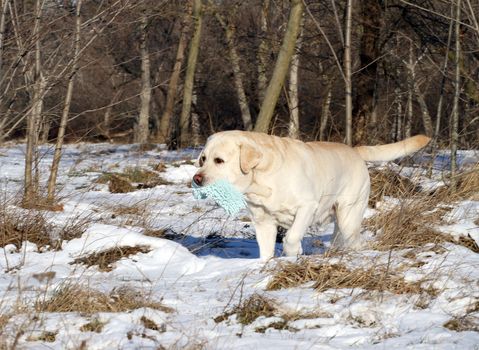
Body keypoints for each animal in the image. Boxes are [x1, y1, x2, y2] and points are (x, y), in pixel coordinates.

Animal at [192, 131, 432, 260]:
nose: (196, 178)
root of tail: (354, 150)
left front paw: (292, 254)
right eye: (203, 158)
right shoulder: (263, 222)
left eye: (219, 160)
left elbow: (291, 237)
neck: (262, 180)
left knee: (355, 240)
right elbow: (266, 250)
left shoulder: (306, 207)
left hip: (349, 215)